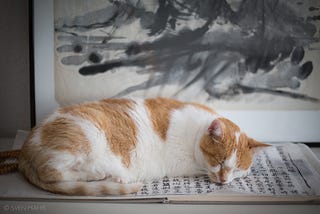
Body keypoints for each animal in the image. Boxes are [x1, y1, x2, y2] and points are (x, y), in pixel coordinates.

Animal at [18, 97, 268, 196]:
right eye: (219, 162)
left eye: (237, 169)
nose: (224, 181)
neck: (195, 132)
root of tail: (24, 150)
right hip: (84, 138)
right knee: (53, 172)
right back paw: (105, 175)